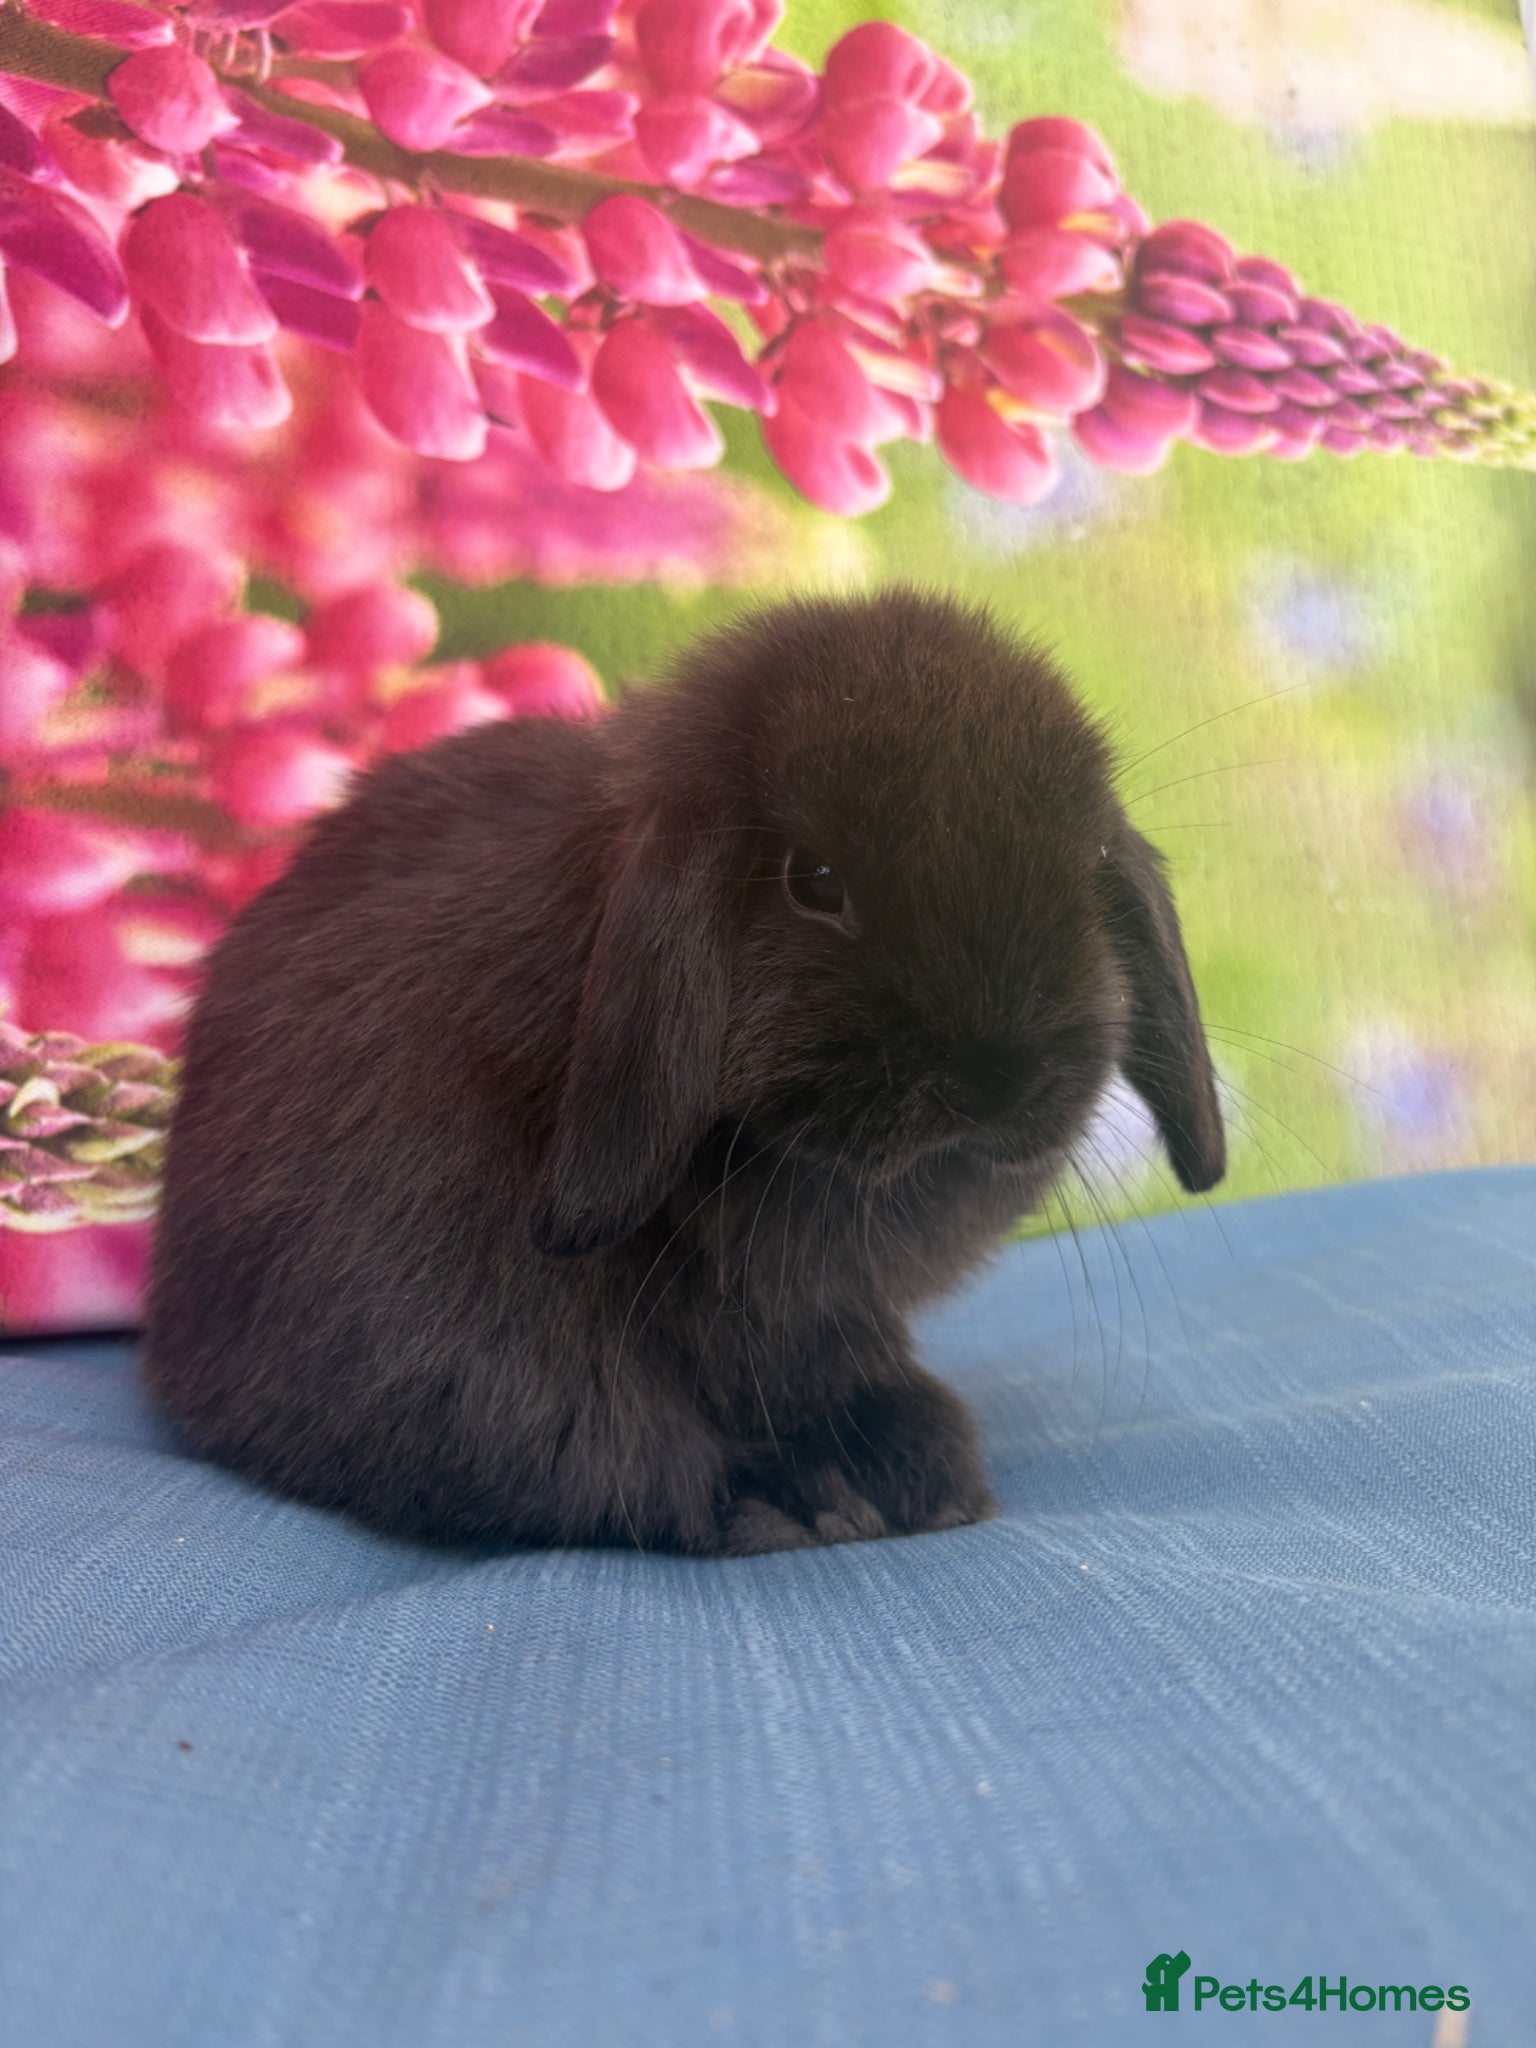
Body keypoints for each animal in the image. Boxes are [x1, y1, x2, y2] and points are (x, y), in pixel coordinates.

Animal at [142, 589, 1225, 1554]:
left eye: (1087, 867)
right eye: (812, 881)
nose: (996, 1077)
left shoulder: (823, 1309)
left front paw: (913, 1470)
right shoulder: (438, 1312)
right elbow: (575, 1440)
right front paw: (806, 1497)